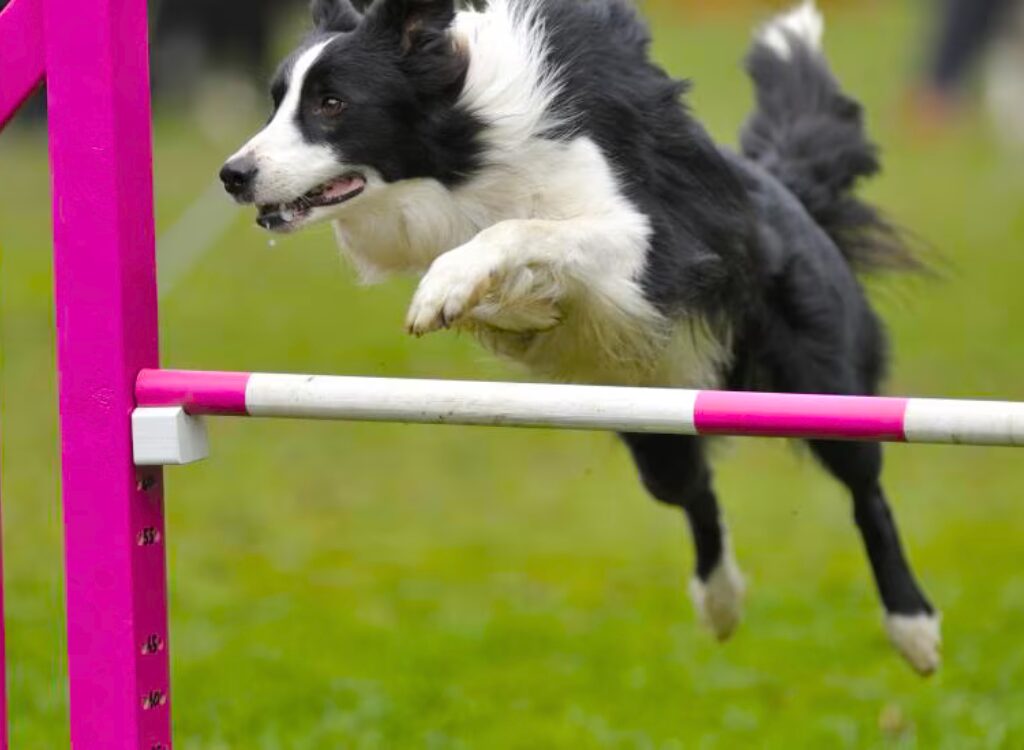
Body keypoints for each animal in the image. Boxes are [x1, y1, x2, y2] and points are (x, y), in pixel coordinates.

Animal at [220, 0, 937, 672]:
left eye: (332, 103)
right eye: (277, 101)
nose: (232, 174)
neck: (466, 143)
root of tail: (791, 193)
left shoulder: (644, 243)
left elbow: (524, 230)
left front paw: (449, 286)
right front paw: (512, 309)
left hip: (819, 386)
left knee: (865, 490)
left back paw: (914, 628)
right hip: (657, 426)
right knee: (696, 490)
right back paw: (721, 601)